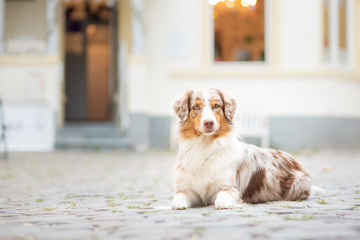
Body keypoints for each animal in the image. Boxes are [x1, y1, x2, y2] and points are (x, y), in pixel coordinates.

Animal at [171, 88, 312, 210]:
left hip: (298, 184)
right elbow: (178, 195)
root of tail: (293, 160)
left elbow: (222, 194)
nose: (209, 123)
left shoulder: (231, 187)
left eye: (216, 106)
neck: (205, 144)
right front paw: (178, 204)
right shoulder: (187, 187)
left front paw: (223, 203)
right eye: (196, 106)